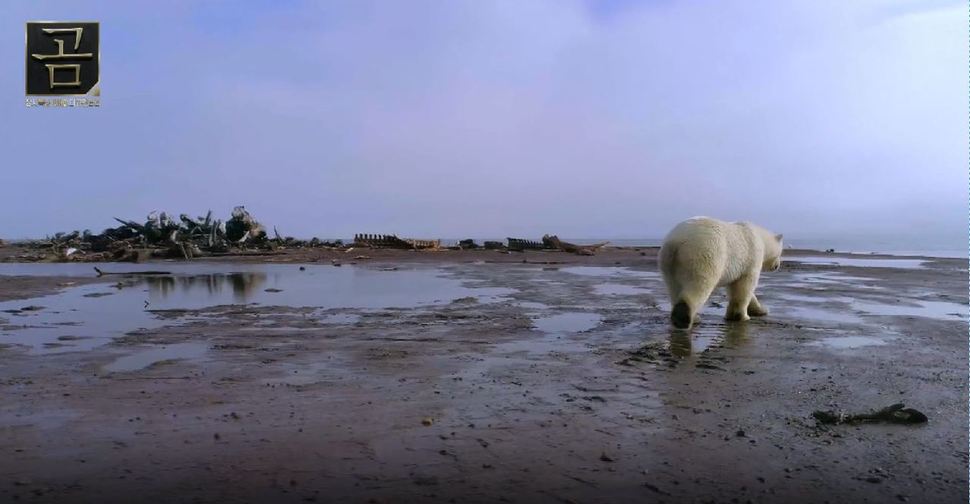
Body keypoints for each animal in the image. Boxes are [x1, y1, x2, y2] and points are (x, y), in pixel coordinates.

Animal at [656, 218, 784, 330]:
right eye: (781, 252)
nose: (777, 266)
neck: (761, 238)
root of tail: (675, 242)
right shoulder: (751, 258)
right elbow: (746, 286)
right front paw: (743, 316)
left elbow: (739, 287)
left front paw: (761, 310)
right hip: (704, 254)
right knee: (699, 285)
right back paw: (684, 318)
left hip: (669, 264)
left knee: (674, 287)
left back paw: (693, 317)